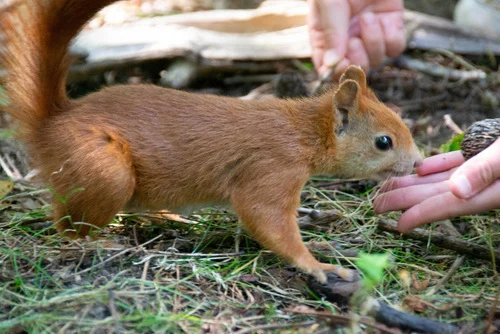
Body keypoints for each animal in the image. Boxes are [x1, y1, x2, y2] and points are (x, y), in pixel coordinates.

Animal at [0, 0, 422, 284]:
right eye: (384, 142)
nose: (418, 163)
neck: (302, 132)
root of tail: (52, 124)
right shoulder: (271, 168)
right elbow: (266, 219)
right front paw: (317, 266)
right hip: (105, 168)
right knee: (67, 226)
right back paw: (96, 245)